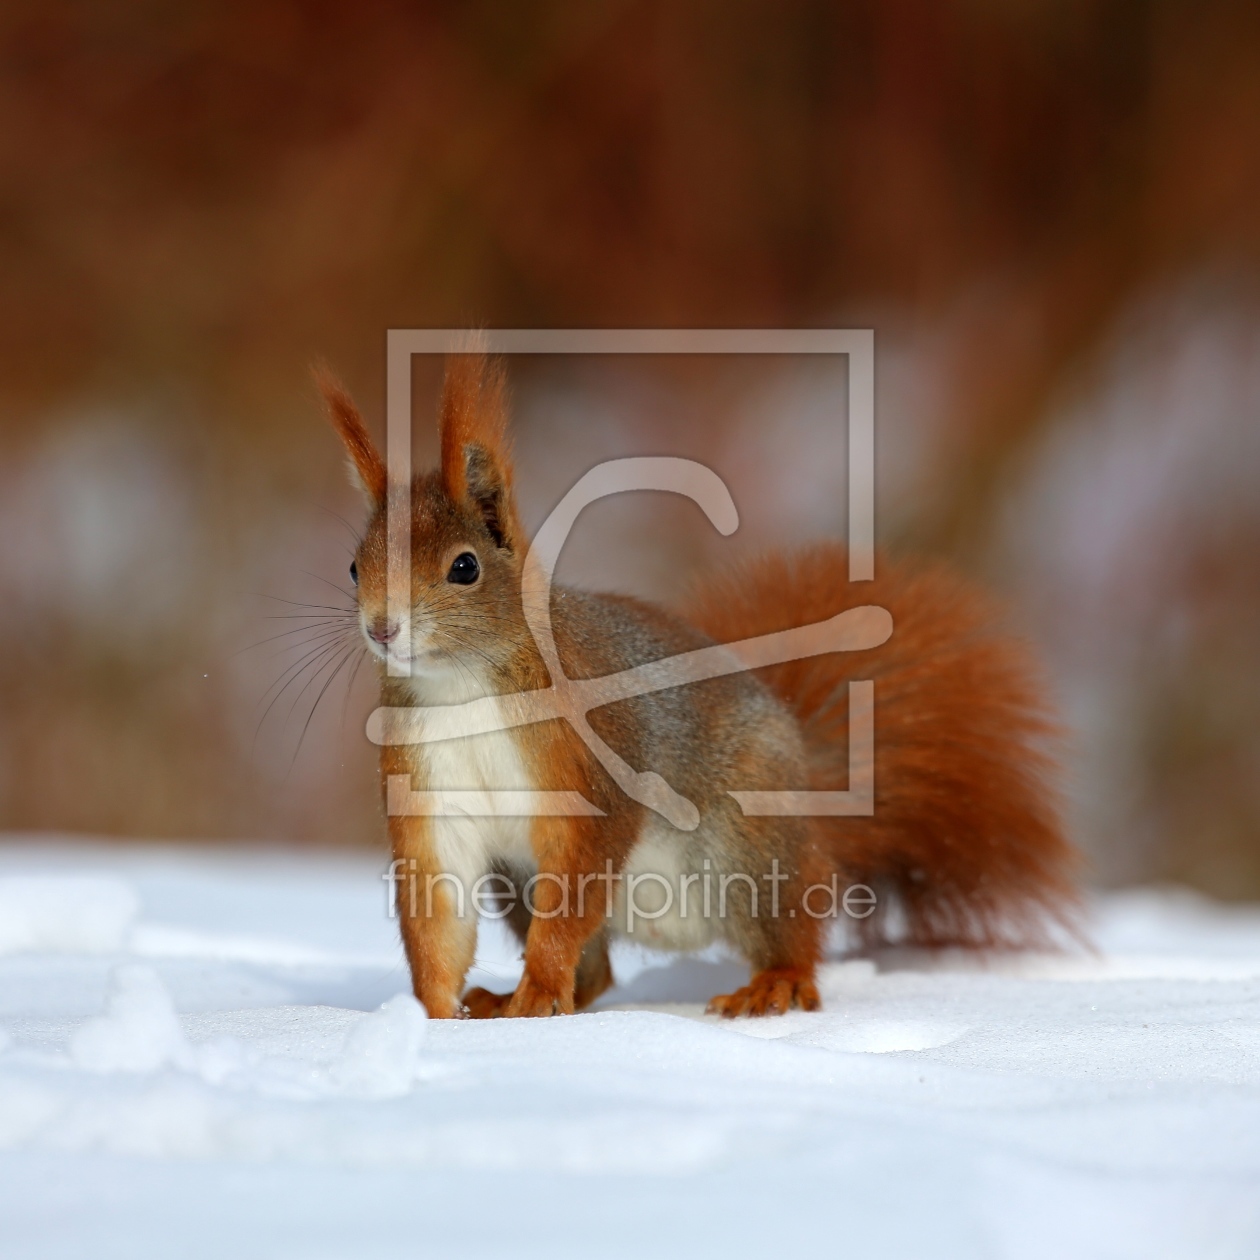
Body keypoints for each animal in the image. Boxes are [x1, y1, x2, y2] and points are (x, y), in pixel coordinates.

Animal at [320, 350, 1078, 1018]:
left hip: (747, 841)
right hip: (519, 877)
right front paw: (432, 1015)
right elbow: (437, 912)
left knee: (791, 937)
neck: (461, 686)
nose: (382, 628)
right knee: (598, 974)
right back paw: (515, 1001)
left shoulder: (596, 775)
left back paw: (769, 985)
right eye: (355, 567)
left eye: (465, 567)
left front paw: (534, 988)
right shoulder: (428, 793)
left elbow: (574, 895)